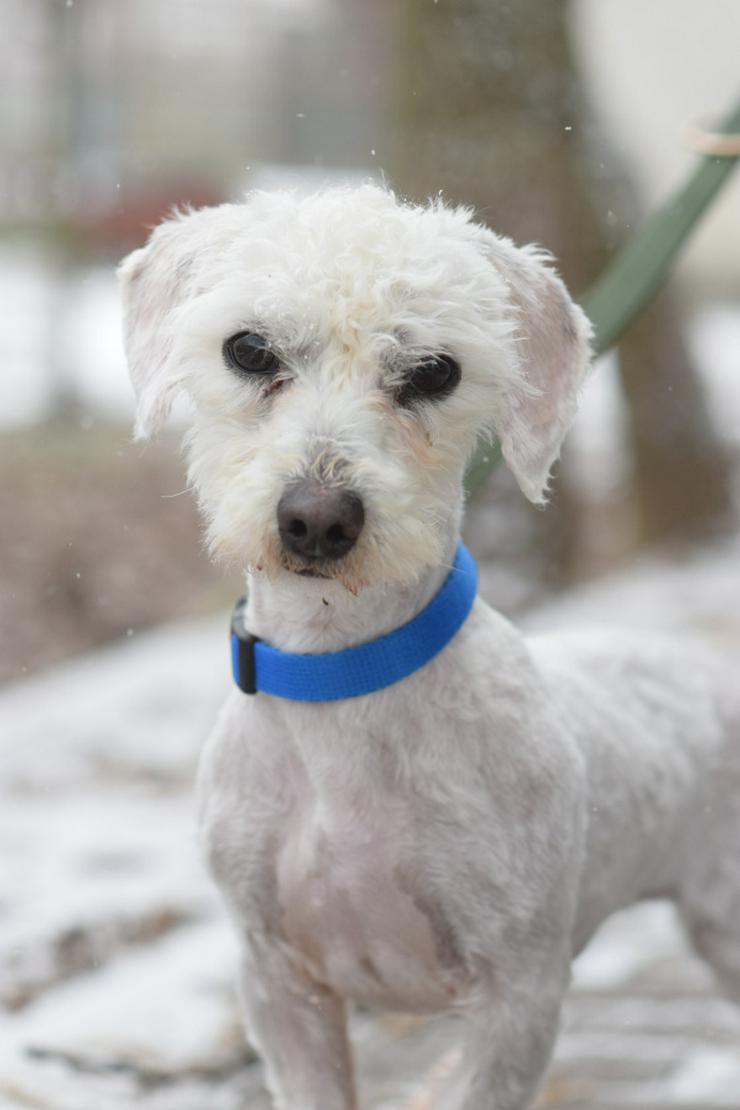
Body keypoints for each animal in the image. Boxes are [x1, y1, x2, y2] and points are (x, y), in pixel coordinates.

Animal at [117, 186, 740, 1105]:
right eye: (249, 348)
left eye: (435, 371)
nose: (317, 519)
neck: (346, 678)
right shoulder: (277, 982)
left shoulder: (519, 995)